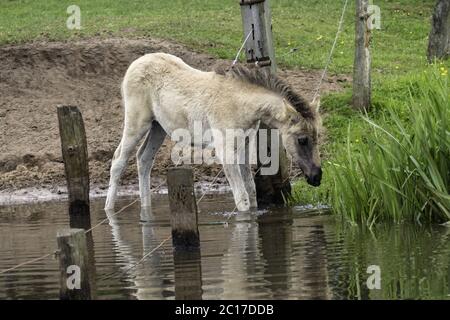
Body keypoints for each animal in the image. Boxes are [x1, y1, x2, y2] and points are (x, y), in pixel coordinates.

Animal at [104, 52, 324, 212]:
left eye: (317, 138)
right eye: (302, 139)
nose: (317, 177)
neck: (240, 104)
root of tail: (135, 64)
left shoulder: (244, 148)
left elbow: (251, 193)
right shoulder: (226, 152)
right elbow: (242, 198)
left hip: (158, 127)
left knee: (143, 159)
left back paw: (146, 208)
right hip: (137, 123)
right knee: (118, 160)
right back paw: (109, 209)